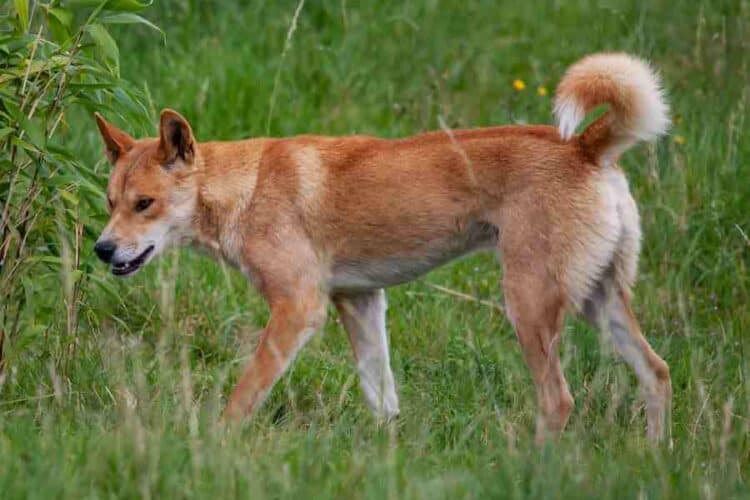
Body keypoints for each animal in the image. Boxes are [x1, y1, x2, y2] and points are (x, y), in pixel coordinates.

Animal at [94, 51, 676, 442]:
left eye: (144, 204)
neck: (249, 186)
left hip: (529, 304)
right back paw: (653, 458)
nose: (102, 249)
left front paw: (218, 445)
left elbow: (243, 395)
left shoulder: (298, 308)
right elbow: (382, 399)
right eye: (110, 202)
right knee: (657, 373)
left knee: (558, 400)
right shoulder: (359, 301)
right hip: (599, 300)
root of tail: (585, 147)